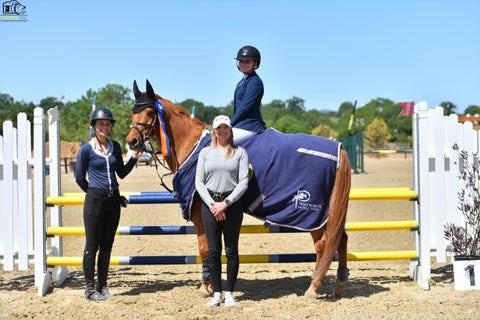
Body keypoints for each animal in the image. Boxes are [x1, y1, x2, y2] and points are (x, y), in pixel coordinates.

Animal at [126, 80, 352, 300]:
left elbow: (204, 248)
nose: (131, 141)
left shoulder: (199, 211)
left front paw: (206, 287)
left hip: (312, 214)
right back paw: (340, 286)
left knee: (323, 245)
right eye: (132, 112)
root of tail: (339, 149)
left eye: (149, 112)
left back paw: (313, 288)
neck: (194, 147)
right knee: (340, 239)